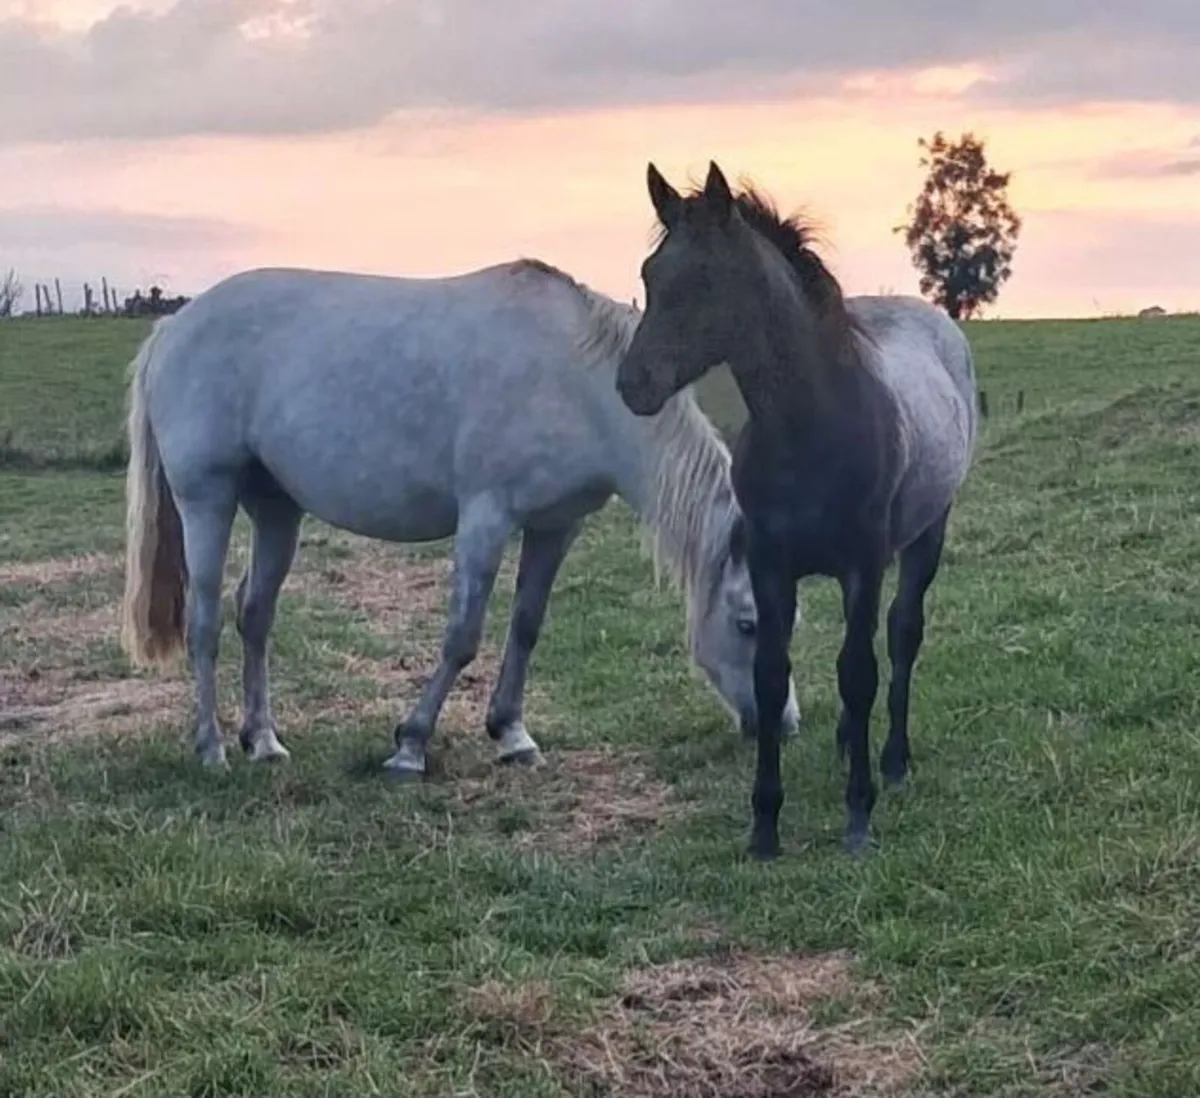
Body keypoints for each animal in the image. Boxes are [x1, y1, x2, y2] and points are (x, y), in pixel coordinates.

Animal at [120, 257, 800, 775]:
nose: (785, 724)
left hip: (276, 510)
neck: (574, 380)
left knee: (255, 615)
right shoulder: (485, 519)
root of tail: (174, 326)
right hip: (207, 499)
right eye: (746, 624)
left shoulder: (555, 527)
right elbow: (462, 635)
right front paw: (411, 745)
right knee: (205, 622)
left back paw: (263, 741)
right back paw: (211, 749)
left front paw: (513, 734)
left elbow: (526, 626)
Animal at [615, 162, 978, 859]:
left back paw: (892, 761)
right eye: (650, 274)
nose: (632, 384)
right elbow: (771, 674)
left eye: (706, 279)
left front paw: (858, 818)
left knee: (902, 634)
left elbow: (859, 672)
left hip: (927, 534)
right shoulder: (770, 565)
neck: (809, 428)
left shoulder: (864, 563)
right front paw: (764, 826)